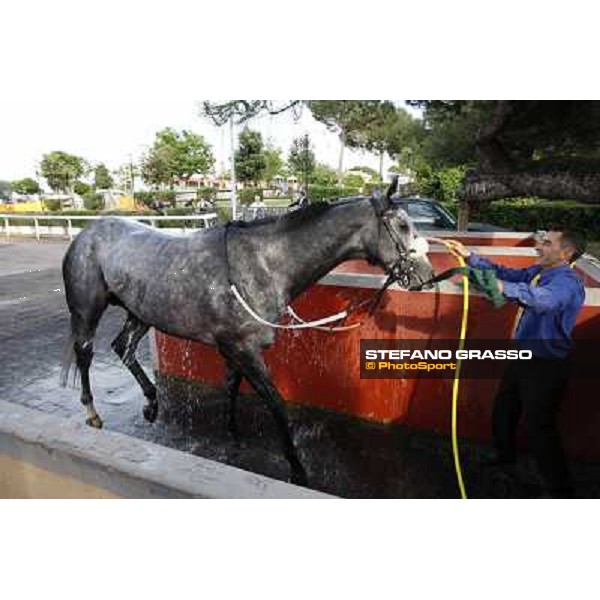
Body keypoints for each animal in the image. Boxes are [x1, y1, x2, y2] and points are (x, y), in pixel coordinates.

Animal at [61, 182, 434, 482]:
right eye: (402, 225)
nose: (427, 276)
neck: (262, 265)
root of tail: (86, 233)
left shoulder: (233, 348)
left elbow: (232, 389)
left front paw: (233, 438)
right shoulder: (244, 349)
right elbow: (277, 404)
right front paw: (297, 468)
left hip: (140, 312)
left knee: (123, 347)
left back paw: (152, 404)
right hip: (87, 310)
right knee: (85, 353)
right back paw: (92, 413)